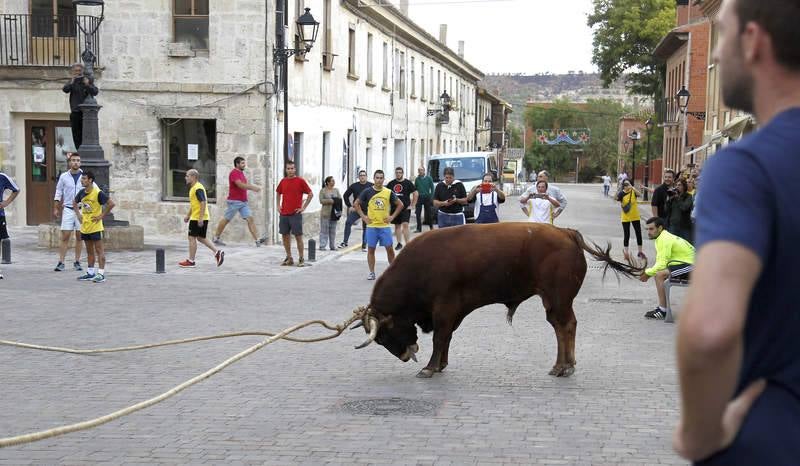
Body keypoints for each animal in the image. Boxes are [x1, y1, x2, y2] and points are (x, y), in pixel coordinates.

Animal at [354, 222, 640, 378]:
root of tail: (566, 233)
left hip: (558, 299)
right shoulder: (451, 313)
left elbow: (440, 337)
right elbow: (446, 337)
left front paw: (430, 367)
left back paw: (565, 367)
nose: (405, 356)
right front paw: (441, 364)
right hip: (554, 301)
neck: (420, 266)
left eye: (383, 336)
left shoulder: (444, 308)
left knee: (565, 326)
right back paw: (562, 365)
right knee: (561, 327)